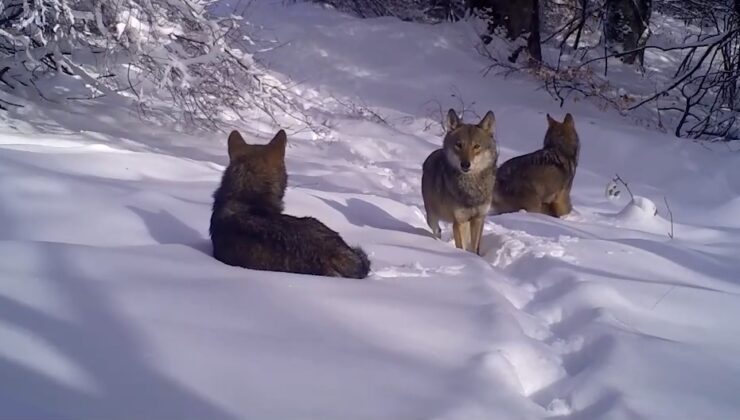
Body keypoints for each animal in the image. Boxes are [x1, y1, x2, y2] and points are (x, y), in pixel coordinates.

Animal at [422, 108, 498, 254]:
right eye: (459, 145)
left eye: (476, 146)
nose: (465, 164)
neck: (471, 188)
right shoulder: (459, 221)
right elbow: (461, 246)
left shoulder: (478, 219)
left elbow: (475, 248)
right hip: (432, 217)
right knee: (437, 230)